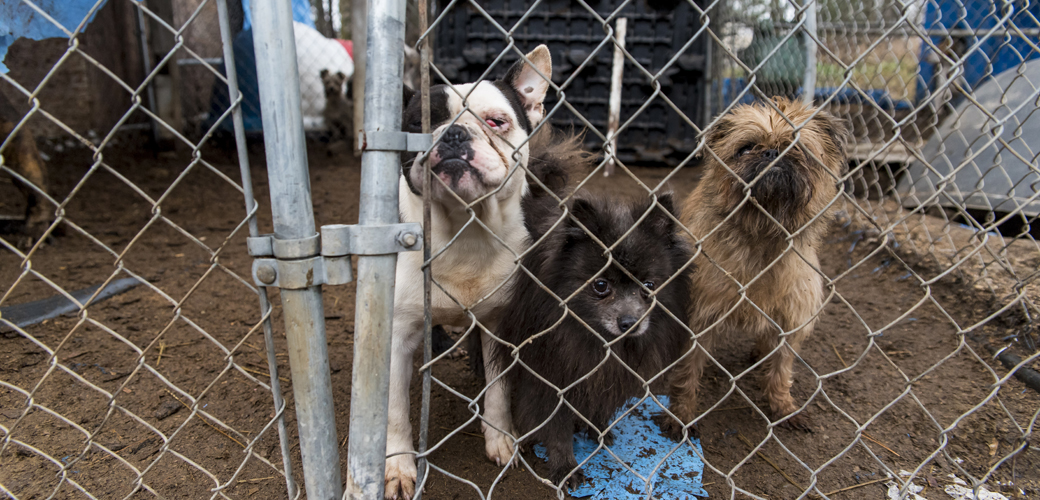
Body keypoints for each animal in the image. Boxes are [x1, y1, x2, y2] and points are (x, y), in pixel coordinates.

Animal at [384, 44, 590, 496]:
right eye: (417, 126)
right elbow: (396, 410)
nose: (454, 134)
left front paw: (500, 437)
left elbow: (498, 391)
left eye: (497, 121)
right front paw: (398, 466)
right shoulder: (397, 336)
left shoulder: (499, 325)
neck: (466, 227)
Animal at [490, 193, 694, 488]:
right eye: (600, 285)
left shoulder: (604, 374)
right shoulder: (549, 380)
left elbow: (600, 404)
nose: (630, 322)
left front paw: (597, 429)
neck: (596, 340)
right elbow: (558, 430)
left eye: (649, 286)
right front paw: (565, 467)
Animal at [661, 97, 848, 432]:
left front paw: (783, 405)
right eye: (746, 148)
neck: (762, 234)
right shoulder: (698, 318)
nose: (772, 152)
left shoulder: (792, 316)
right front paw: (681, 413)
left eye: (799, 148)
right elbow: (687, 371)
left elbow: (782, 368)